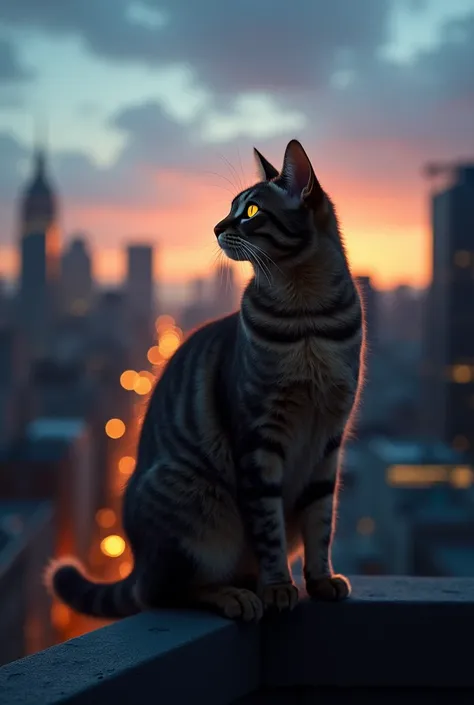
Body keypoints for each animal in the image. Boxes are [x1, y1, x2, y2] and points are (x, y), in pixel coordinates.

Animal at [46, 139, 362, 620]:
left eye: (251, 211)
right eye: (230, 208)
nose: (216, 227)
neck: (306, 315)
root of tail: (139, 563)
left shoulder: (330, 437)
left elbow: (321, 518)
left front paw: (320, 579)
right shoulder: (258, 435)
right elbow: (267, 524)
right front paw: (278, 586)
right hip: (194, 506)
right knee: (168, 592)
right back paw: (233, 594)